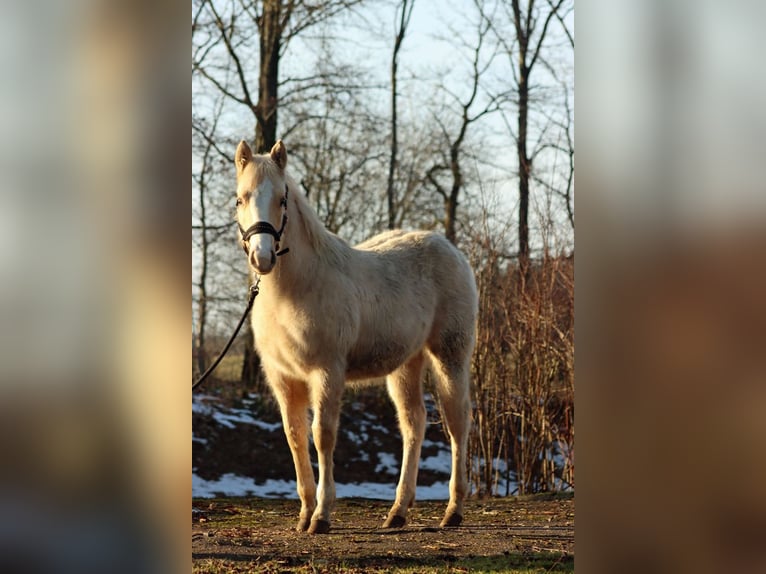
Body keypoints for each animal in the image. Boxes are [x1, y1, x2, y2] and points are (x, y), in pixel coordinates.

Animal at [234, 140, 476, 536]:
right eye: (241, 198)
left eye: (282, 199)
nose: (262, 257)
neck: (296, 290)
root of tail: (449, 247)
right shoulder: (283, 378)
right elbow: (295, 436)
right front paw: (304, 513)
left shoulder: (327, 372)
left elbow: (322, 435)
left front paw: (322, 516)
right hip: (406, 365)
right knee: (414, 423)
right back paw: (398, 512)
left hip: (449, 356)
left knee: (457, 423)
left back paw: (453, 510)